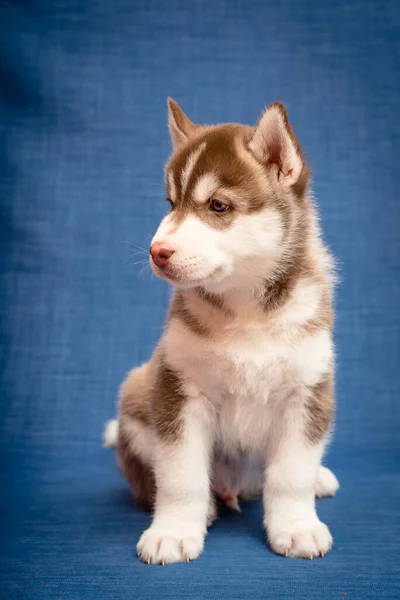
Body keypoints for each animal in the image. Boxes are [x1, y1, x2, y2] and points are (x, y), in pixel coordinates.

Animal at [103, 98, 338, 564]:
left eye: (217, 206)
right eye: (170, 203)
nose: (157, 252)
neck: (247, 310)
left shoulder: (307, 391)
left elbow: (292, 474)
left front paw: (297, 527)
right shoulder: (179, 390)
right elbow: (181, 475)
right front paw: (173, 532)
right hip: (137, 390)